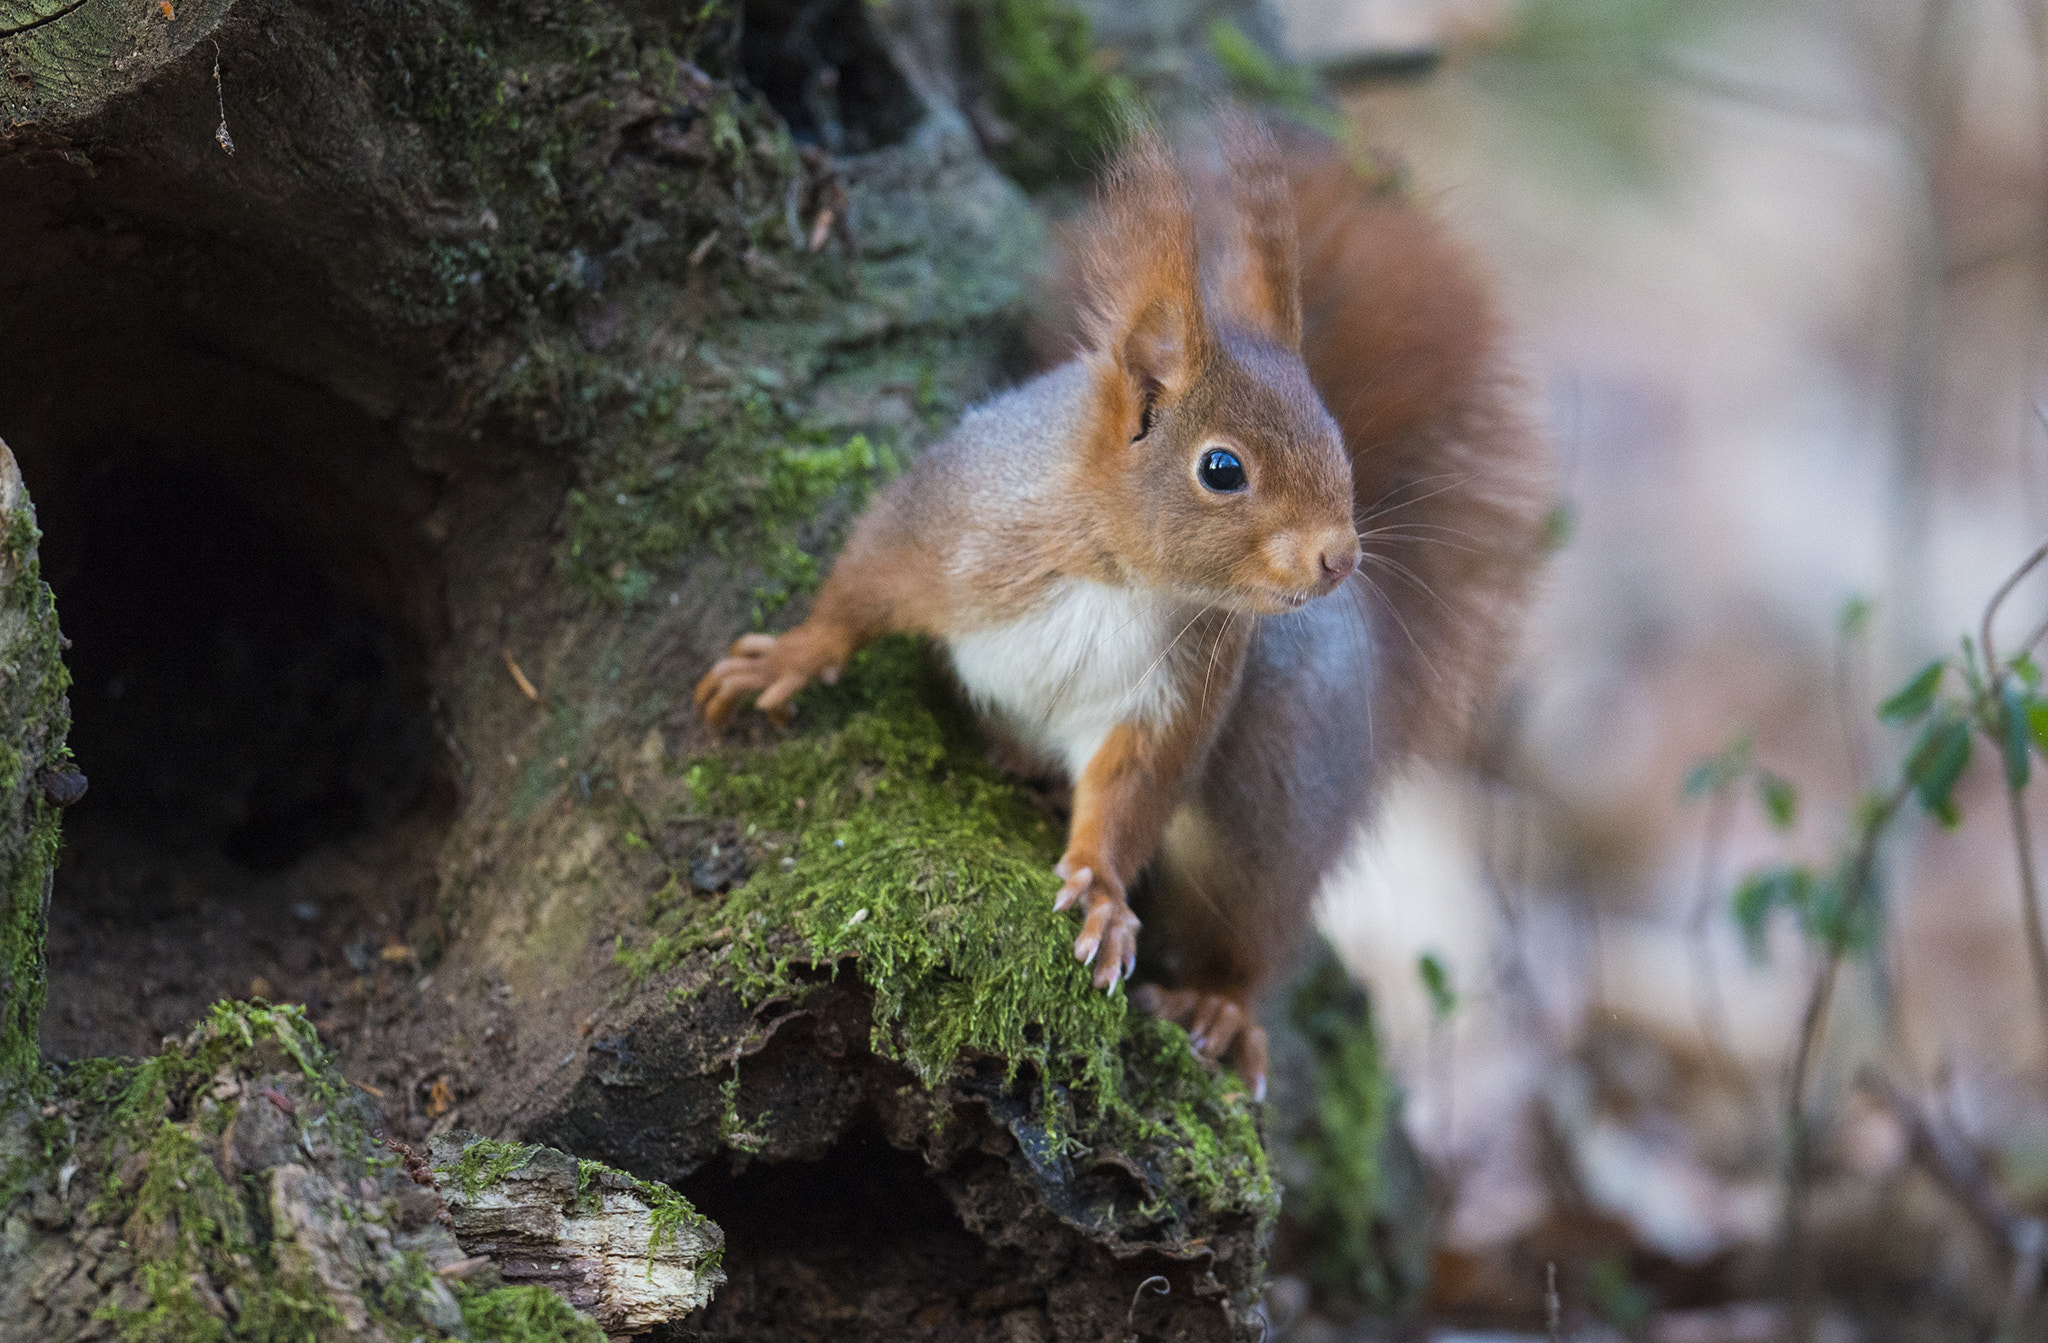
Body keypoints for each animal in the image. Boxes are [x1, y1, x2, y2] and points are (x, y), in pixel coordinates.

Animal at [696, 115, 1540, 1097]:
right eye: (1223, 468)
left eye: (1336, 441)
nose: (1341, 554)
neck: (1124, 574)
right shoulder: (943, 522)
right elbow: (860, 584)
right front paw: (788, 657)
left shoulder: (1178, 691)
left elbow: (1132, 791)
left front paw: (1100, 894)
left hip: (1281, 792)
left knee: (1251, 923)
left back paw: (1220, 1001)